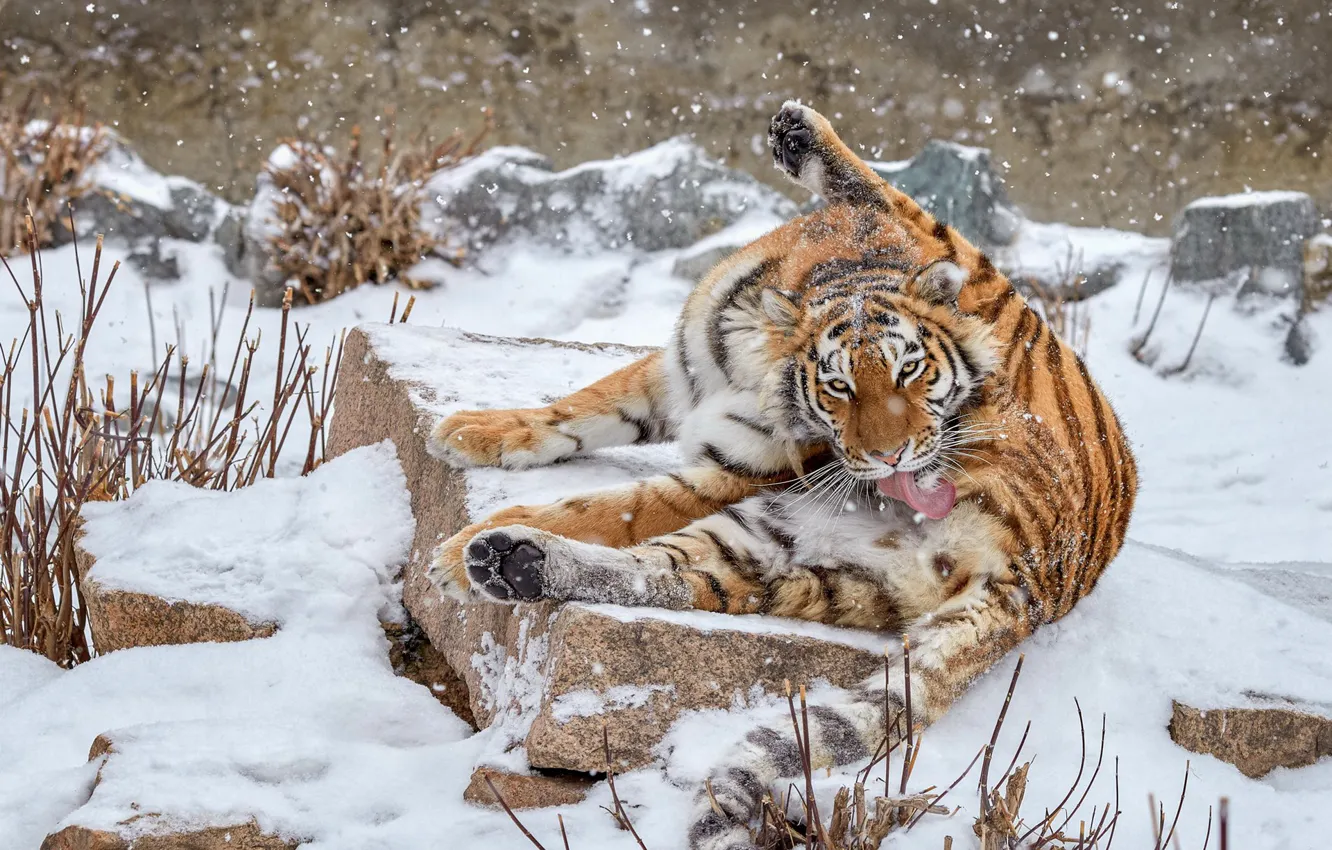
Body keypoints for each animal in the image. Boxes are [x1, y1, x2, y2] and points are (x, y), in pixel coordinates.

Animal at [423, 101, 1134, 850]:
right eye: (840, 386)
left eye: (911, 371)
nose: (895, 459)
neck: (750, 360)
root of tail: (1038, 578)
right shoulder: (675, 375)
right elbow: (583, 406)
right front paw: (474, 431)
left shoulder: (726, 475)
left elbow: (609, 506)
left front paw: (451, 550)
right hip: (795, 554)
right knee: (669, 575)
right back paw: (512, 563)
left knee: (910, 208)